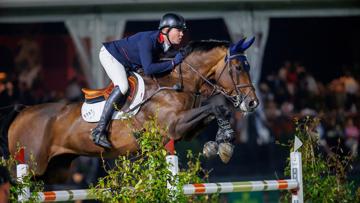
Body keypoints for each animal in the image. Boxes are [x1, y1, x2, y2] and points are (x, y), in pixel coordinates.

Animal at [0, 36, 258, 184]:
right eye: (238, 67)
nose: (252, 103)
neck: (176, 82)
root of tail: (23, 111)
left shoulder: (184, 131)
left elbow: (216, 112)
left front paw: (220, 143)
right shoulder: (174, 126)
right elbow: (216, 107)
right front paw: (224, 143)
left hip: (54, 170)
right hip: (29, 167)